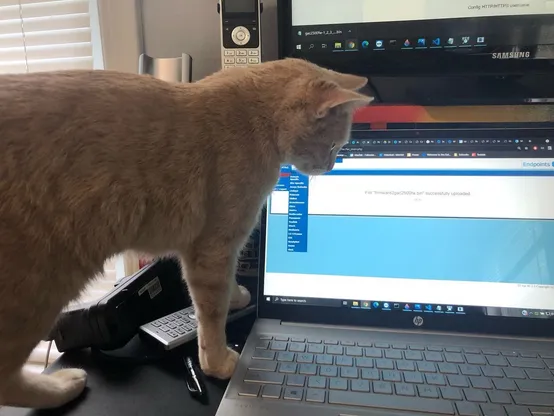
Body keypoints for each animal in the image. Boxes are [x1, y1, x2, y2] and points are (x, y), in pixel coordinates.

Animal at [0, 57, 370, 408]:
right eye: (334, 145)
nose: (331, 167)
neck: (256, 117)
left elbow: (226, 288)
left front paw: (237, 295)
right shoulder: (212, 248)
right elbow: (211, 315)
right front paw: (217, 362)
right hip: (37, 289)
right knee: (8, 380)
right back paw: (61, 387)